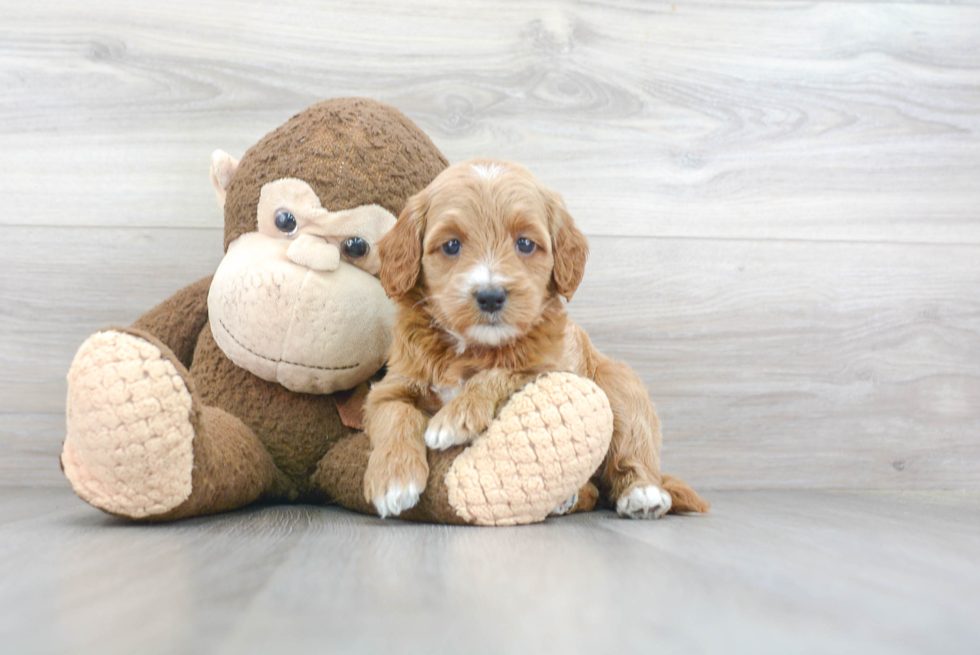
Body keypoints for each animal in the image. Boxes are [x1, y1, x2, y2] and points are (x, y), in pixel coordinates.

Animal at [364, 158, 708, 516]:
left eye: (526, 244)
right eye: (451, 245)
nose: (491, 296)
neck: (472, 347)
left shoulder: (548, 369)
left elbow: (499, 374)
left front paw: (456, 417)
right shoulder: (392, 386)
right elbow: (395, 415)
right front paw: (394, 480)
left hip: (619, 385)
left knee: (632, 448)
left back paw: (643, 494)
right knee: (592, 489)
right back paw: (567, 499)